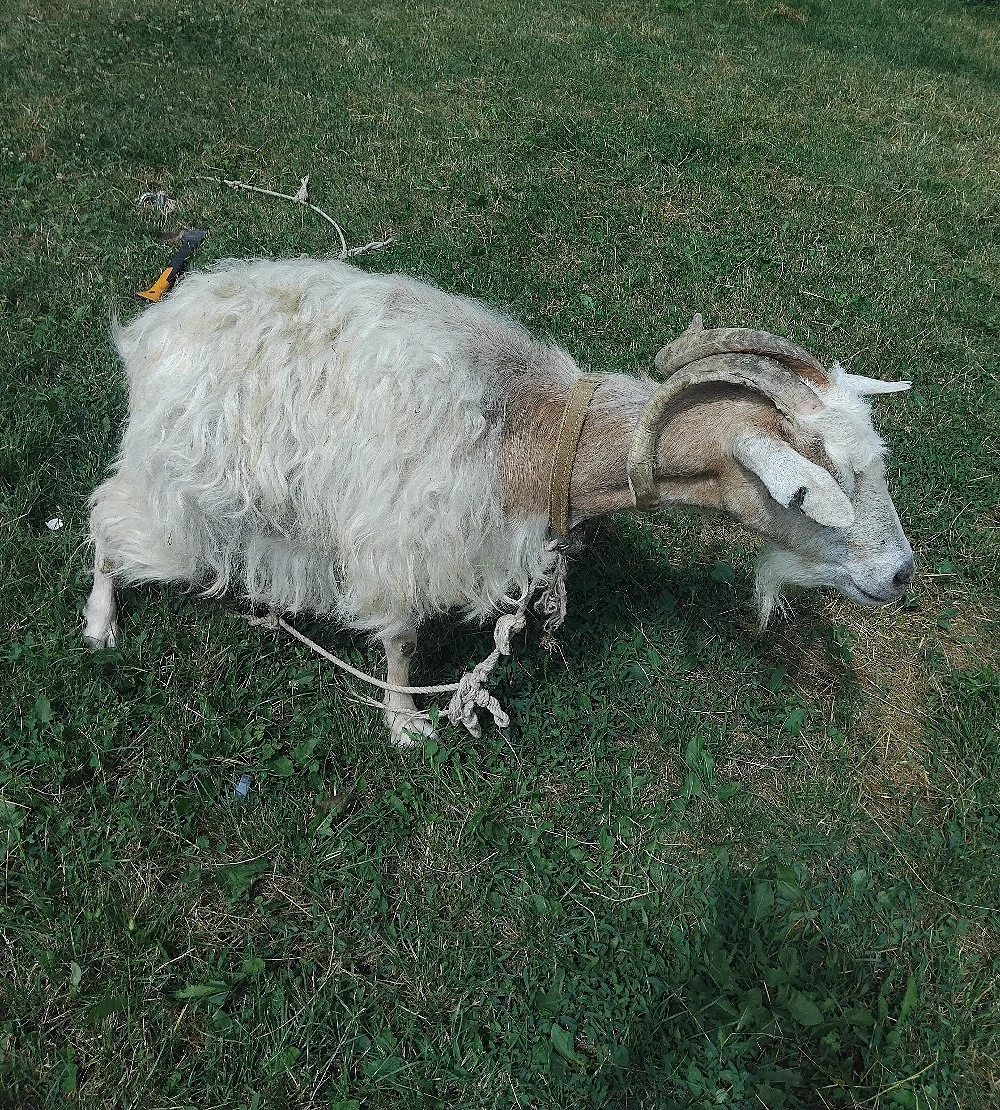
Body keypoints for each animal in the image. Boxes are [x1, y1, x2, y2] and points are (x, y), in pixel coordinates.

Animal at [83, 258, 914, 742]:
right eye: (816, 488)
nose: (902, 575)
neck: (531, 433)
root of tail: (156, 326)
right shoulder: (403, 535)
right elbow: (399, 638)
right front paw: (405, 724)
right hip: (179, 492)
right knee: (105, 517)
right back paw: (100, 620)